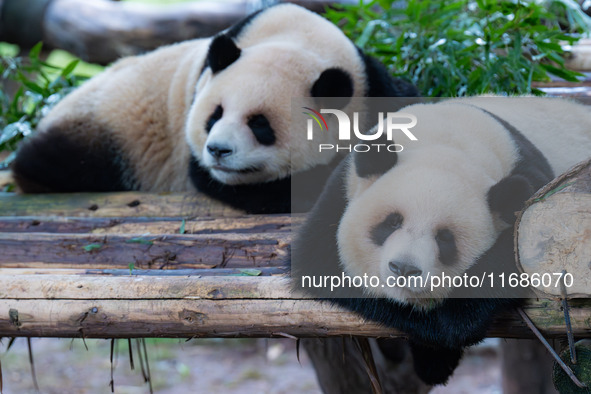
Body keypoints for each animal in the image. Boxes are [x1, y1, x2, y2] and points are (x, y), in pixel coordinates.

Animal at [9, 3, 416, 214]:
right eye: (214, 115)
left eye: (260, 124)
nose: (218, 150)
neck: (300, 40)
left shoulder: (369, 81)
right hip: (109, 129)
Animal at [292, 97, 591, 386]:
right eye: (392, 222)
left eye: (445, 238)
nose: (403, 269)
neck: (447, 139)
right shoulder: (341, 190)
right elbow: (320, 265)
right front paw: (434, 354)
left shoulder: (534, 189)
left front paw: (452, 324)